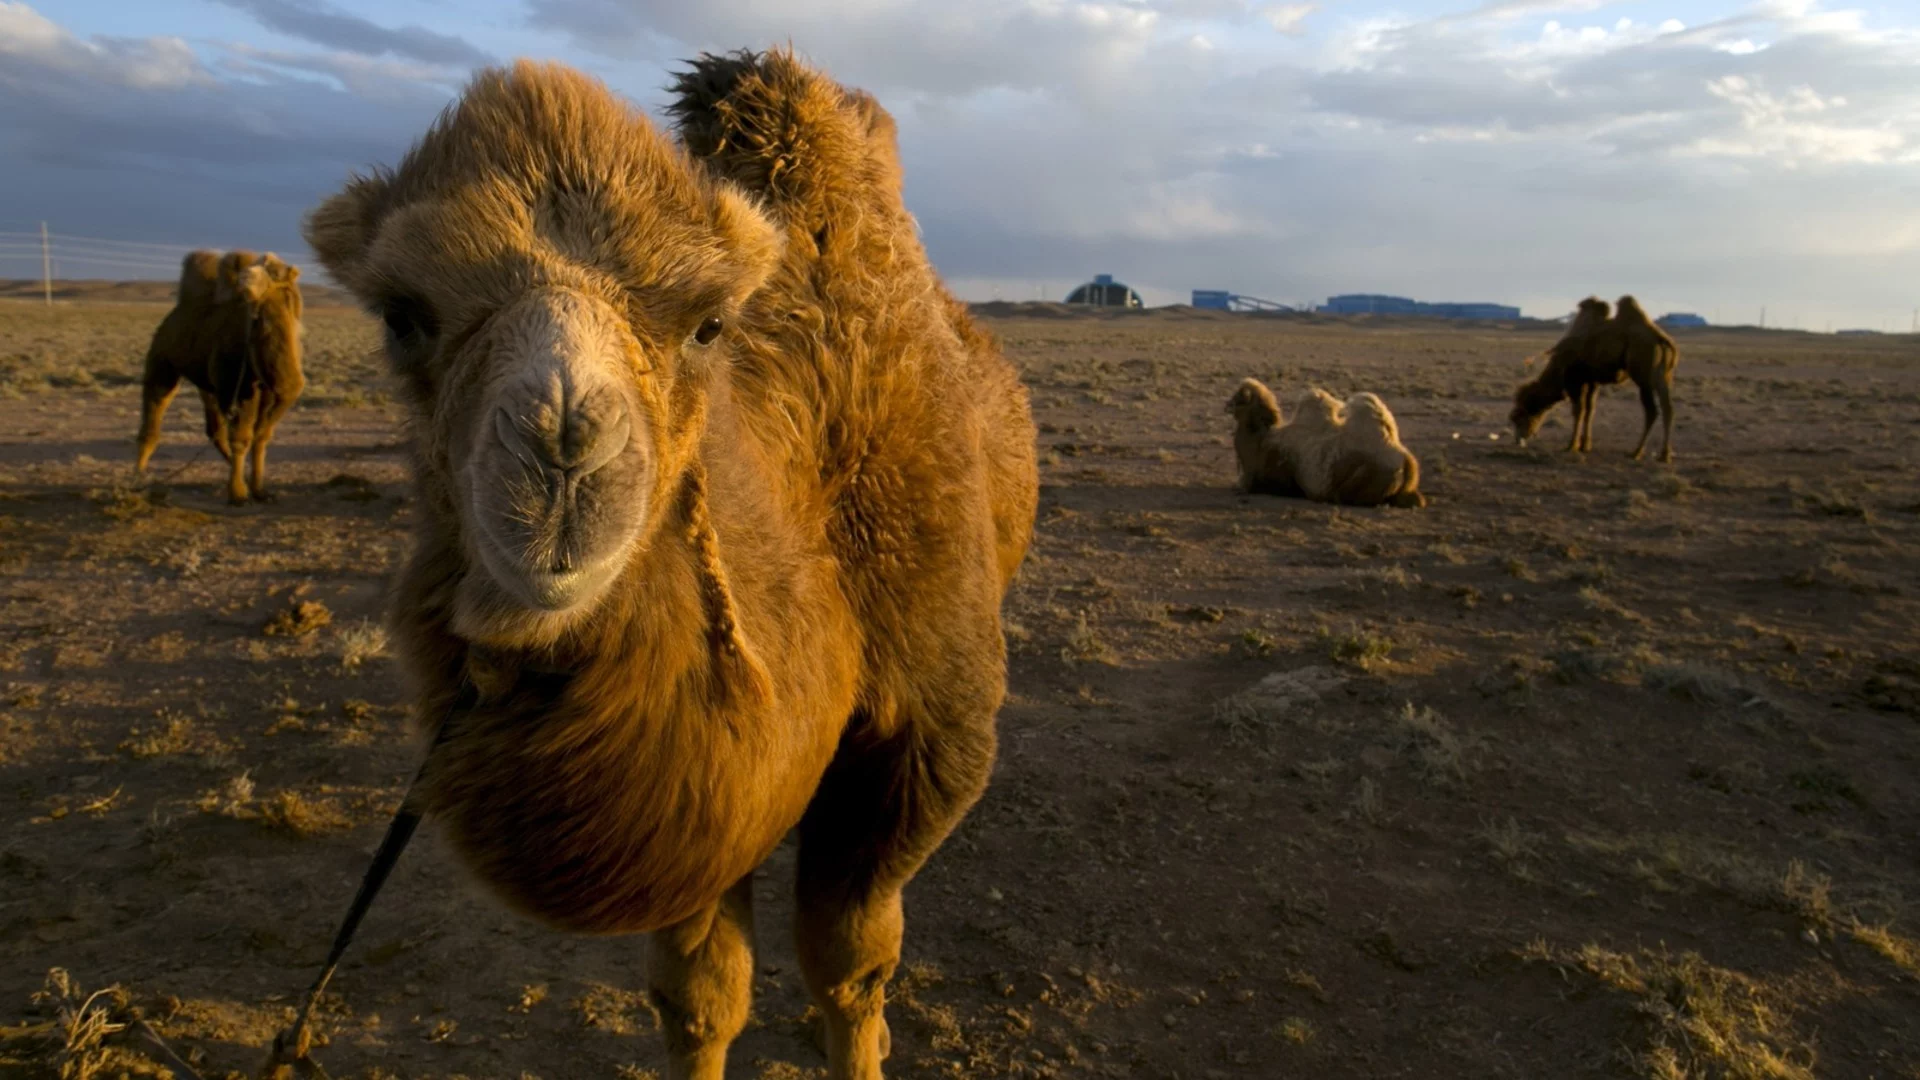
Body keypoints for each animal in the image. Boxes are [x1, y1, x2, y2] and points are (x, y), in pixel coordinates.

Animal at [134, 249, 303, 503]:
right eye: (259, 319)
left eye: (275, 272)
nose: (247, 282)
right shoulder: (235, 384)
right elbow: (242, 438)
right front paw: (238, 494)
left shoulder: (263, 387)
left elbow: (261, 437)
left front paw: (260, 490)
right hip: (162, 360)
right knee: (155, 408)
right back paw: (137, 476)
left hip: (208, 383)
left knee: (214, 428)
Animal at [303, 50, 1036, 1076]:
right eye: (402, 318)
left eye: (706, 325)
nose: (562, 449)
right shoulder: (699, 810)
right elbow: (701, 997)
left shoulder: (932, 732)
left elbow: (851, 964)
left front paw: (857, 1036)